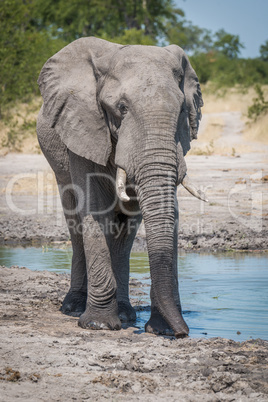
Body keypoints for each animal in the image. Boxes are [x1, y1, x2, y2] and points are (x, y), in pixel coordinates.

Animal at [36, 37, 205, 340]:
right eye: (122, 108)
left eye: (182, 111)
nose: (182, 333)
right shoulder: (84, 127)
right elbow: (95, 209)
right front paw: (98, 325)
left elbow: (152, 215)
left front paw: (158, 328)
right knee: (75, 220)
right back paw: (73, 308)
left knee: (126, 229)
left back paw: (125, 313)